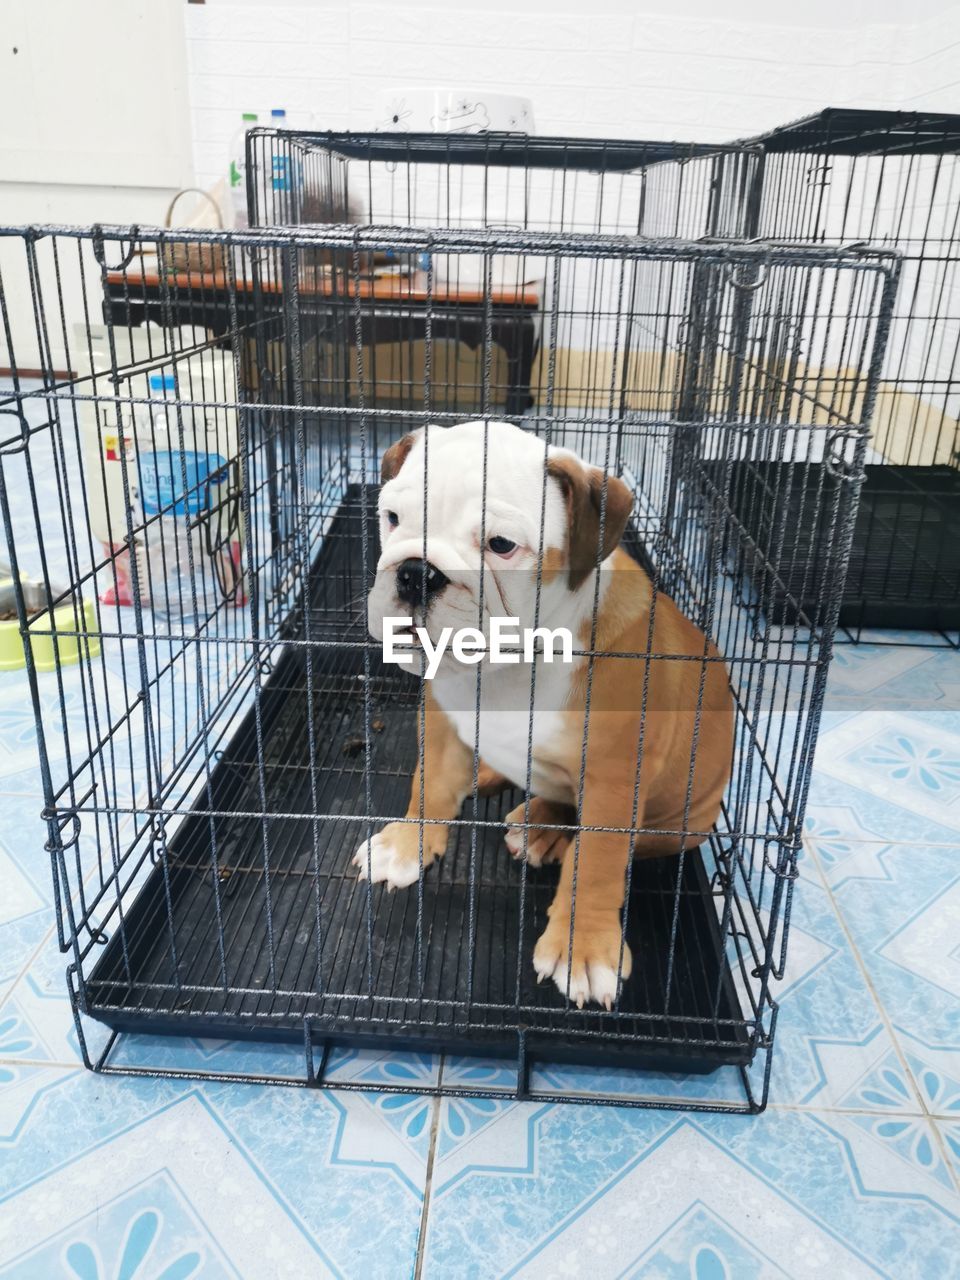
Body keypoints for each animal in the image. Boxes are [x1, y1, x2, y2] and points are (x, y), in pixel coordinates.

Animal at [353, 422, 737, 1008]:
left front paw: (584, 948)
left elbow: (596, 863)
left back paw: (545, 831)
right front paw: (406, 844)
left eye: (501, 546)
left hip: (683, 823)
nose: (417, 572)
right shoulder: (441, 716)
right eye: (393, 517)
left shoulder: (614, 778)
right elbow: (429, 783)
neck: (511, 667)